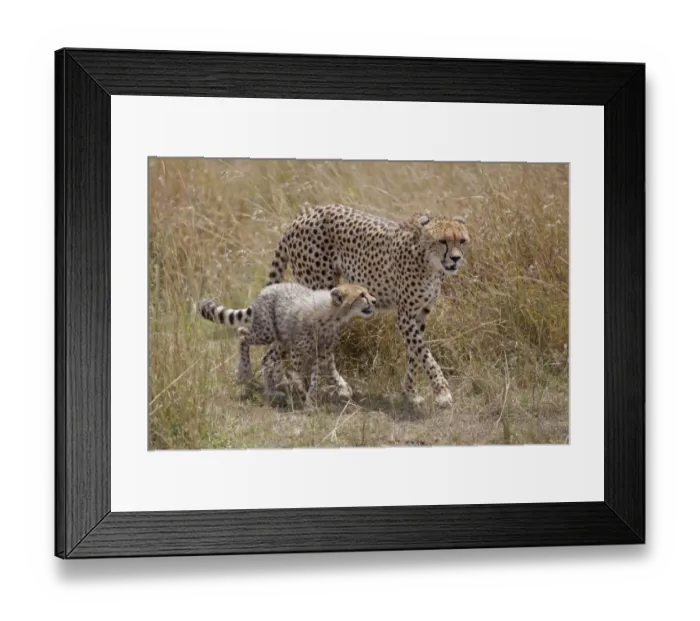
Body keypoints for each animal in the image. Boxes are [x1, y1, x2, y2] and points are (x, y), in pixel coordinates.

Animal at [198, 282, 377, 408]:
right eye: (362, 295)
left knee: (265, 359)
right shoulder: (298, 349)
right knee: (243, 336)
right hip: (266, 333)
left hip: (280, 340)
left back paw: (271, 391)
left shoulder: (320, 354)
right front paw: (298, 388)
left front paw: (310, 402)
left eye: (366, 292)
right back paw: (245, 372)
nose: (374, 301)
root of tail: (269, 288)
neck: (332, 315)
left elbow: (314, 379)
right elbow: (295, 372)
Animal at [264, 204, 470, 409]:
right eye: (442, 241)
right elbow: (426, 355)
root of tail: (304, 214)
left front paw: (410, 392)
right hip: (319, 290)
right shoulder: (404, 318)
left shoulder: (420, 314)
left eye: (461, 241)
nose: (456, 258)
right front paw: (442, 392)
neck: (430, 263)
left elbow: (415, 355)